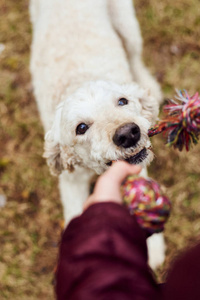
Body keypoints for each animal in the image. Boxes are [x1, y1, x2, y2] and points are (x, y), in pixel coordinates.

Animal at [29, 0, 164, 268]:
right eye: (81, 127)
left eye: (122, 101)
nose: (128, 134)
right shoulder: (71, 183)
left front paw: (153, 248)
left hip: (127, 24)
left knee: (135, 55)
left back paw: (148, 84)